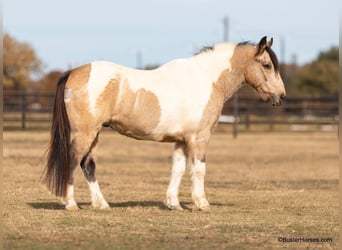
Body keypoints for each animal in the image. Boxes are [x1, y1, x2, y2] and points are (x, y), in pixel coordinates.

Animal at [42, 35, 286, 211]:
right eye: (266, 65)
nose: (281, 96)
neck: (205, 80)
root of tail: (73, 72)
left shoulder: (181, 140)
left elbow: (177, 170)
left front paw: (173, 203)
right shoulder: (199, 138)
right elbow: (199, 169)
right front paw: (202, 203)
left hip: (94, 134)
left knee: (88, 165)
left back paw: (101, 204)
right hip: (85, 133)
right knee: (73, 161)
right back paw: (71, 204)